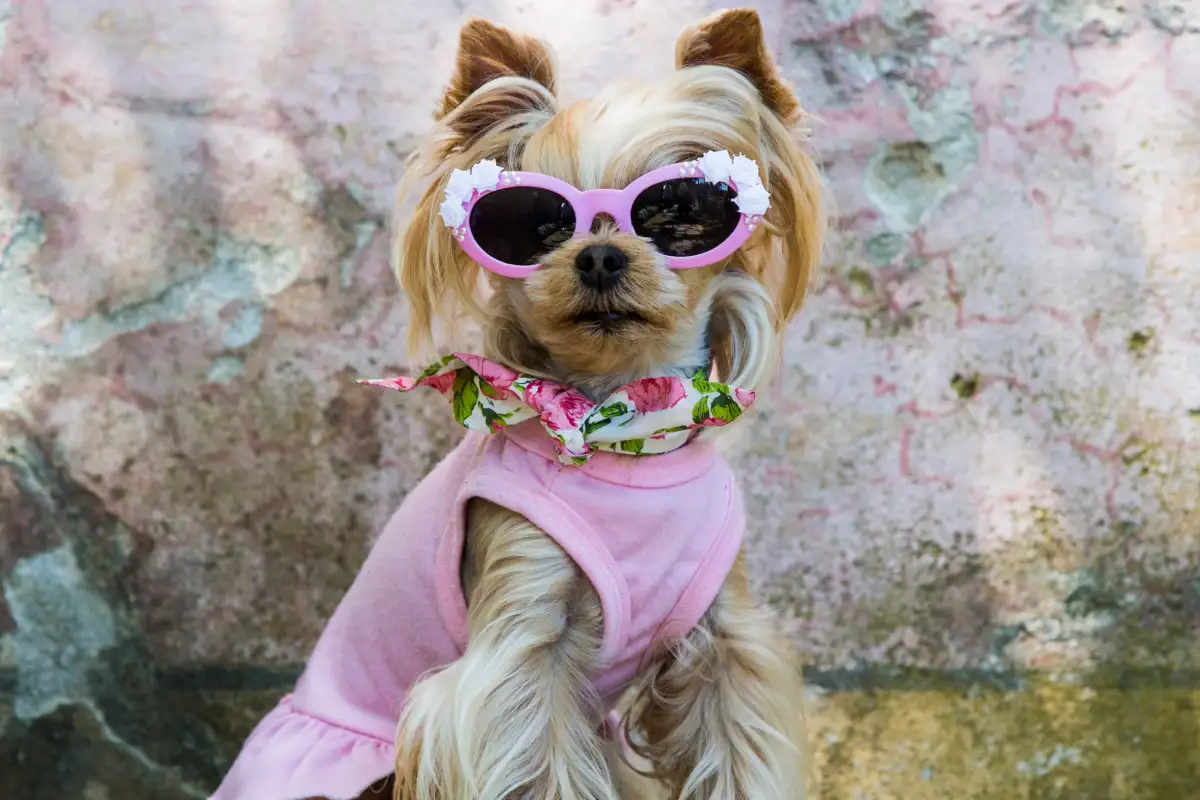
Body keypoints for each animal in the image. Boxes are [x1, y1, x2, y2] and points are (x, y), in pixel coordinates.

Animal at [211, 8, 824, 800]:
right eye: (539, 227)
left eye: (677, 215)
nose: (599, 256)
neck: (620, 432)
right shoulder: (523, 646)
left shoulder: (723, 641)